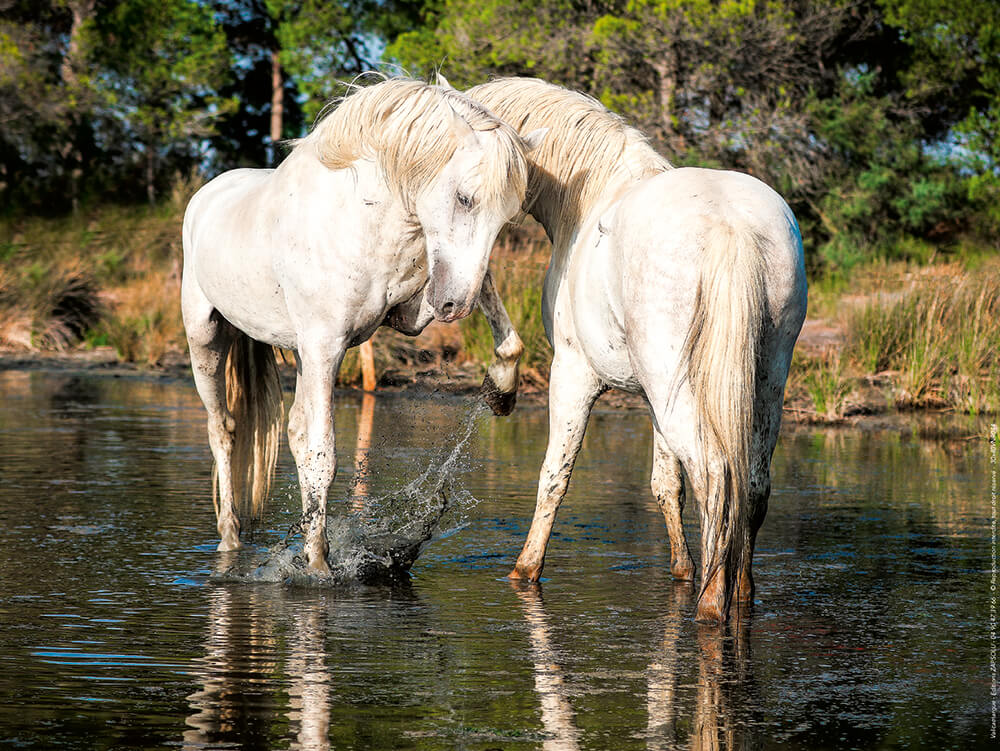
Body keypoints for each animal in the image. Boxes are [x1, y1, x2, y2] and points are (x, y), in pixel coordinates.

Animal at [187, 79, 548, 572]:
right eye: (464, 198)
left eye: (507, 217)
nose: (454, 306)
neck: (362, 221)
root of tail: (206, 194)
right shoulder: (326, 346)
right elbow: (323, 455)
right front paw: (318, 567)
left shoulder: (407, 316)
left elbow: (502, 326)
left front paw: (502, 391)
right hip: (205, 339)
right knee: (223, 430)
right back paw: (230, 538)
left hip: (297, 353)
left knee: (292, 429)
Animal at [464, 76, 808, 624]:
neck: (590, 196)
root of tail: (730, 226)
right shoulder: (653, 399)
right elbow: (666, 485)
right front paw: (683, 571)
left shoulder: (573, 375)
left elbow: (554, 477)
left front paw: (525, 571)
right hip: (757, 384)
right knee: (751, 485)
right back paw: (738, 594)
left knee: (717, 478)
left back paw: (712, 606)